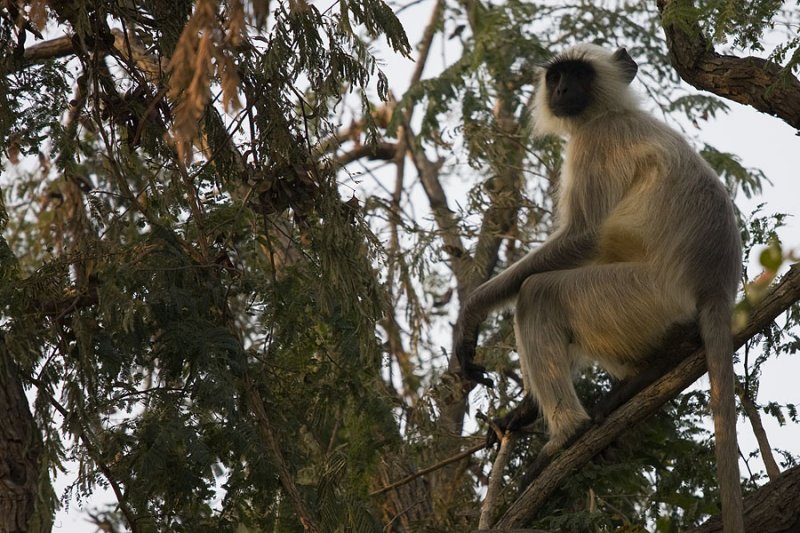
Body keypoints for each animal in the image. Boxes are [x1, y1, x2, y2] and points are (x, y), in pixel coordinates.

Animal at [454, 43, 748, 528]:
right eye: (556, 77)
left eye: (577, 75)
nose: (560, 91)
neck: (613, 111)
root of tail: (715, 288)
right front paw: (523, 410)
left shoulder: (597, 142)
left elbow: (584, 236)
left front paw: (471, 312)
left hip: (640, 297)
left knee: (540, 293)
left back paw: (567, 436)